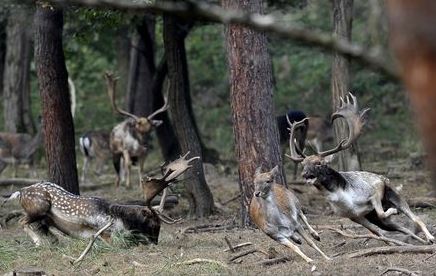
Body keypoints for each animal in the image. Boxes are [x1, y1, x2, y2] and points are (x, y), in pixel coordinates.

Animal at [5, 153, 198, 246]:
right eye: (153, 223)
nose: (155, 242)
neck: (119, 219)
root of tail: (20, 191)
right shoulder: (104, 231)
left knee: (42, 226)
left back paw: (54, 241)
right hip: (39, 206)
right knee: (22, 221)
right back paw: (39, 242)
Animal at [288, 92, 434, 244]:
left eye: (319, 163)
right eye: (303, 164)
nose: (305, 174)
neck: (344, 199)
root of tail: (384, 177)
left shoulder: (374, 191)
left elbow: (382, 213)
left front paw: (393, 212)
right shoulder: (354, 216)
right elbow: (376, 231)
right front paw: (390, 241)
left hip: (394, 194)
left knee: (415, 218)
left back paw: (429, 237)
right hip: (376, 218)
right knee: (403, 228)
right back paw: (418, 241)